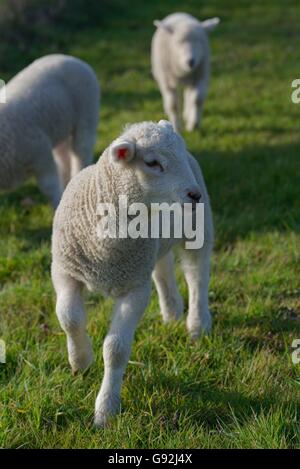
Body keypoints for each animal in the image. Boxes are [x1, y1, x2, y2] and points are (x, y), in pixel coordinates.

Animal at [0, 53, 101, 207]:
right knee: (64, 157)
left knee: (81, 154)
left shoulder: (41, 155)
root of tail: (68, 57)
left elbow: (49, 187)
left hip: (87, 115)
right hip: (61, 127)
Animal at [52, 119, 216, 426]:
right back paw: (172, 312)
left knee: (197, 275)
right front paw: (80, 361)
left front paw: (105, 410)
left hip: (198, 231)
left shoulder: (135, 289)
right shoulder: (66, 271)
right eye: (152, 163)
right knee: (163, 269)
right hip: (156, 245)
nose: (195, 195)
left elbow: (115, 349)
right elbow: (69, 317)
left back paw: (197, 325)